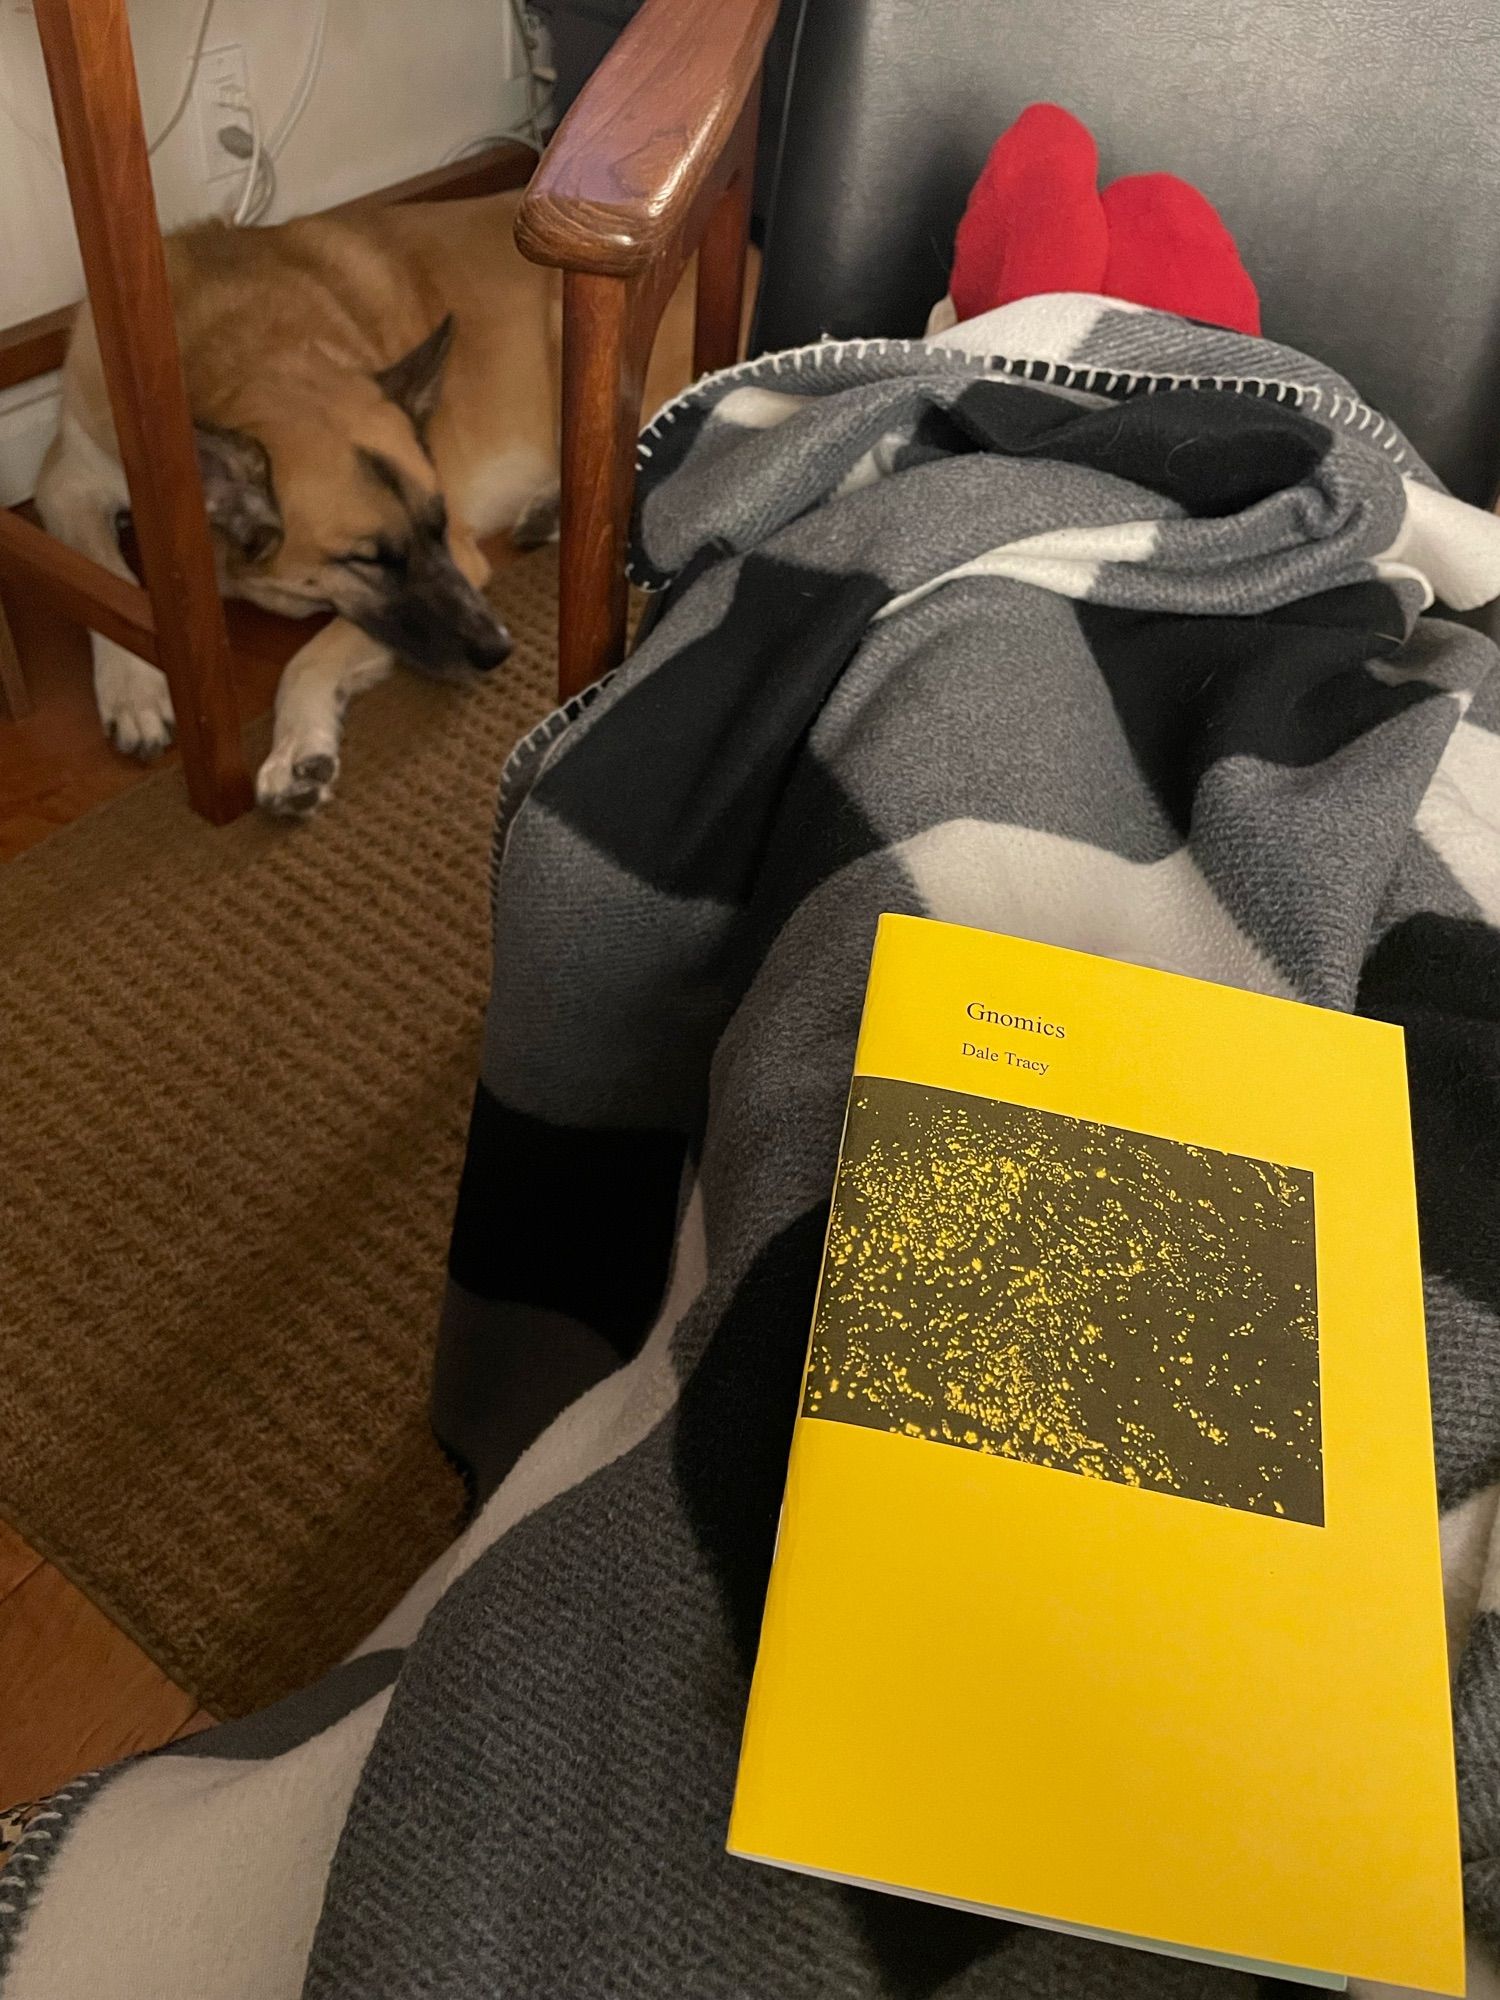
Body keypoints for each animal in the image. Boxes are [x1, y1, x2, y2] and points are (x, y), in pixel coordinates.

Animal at [38, 188, 700, 812]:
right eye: (367, 560)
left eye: (438, 528)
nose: (499, 649)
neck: (245, 362)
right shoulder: (67, 482)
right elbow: (102, 568)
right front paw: (135, 685)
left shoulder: (459, 560)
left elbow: (308, 657)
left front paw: (295, 746)